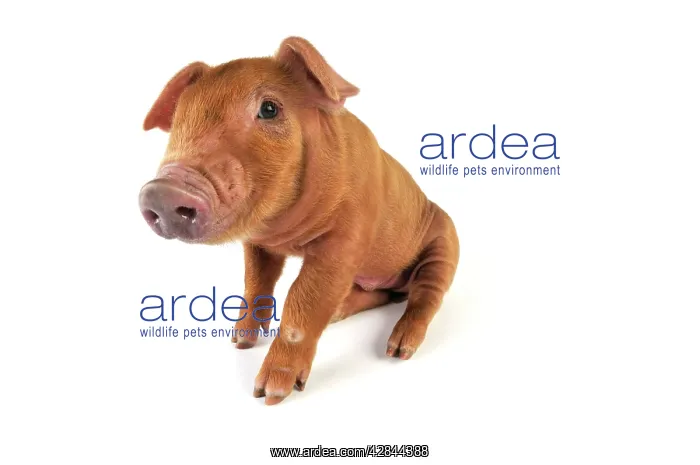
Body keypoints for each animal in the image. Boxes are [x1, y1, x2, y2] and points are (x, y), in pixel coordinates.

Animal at [139, 37, 460, 405]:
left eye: (269, 109)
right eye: (180, 117)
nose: (162, 190)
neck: (284, 232)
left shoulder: (345, 240)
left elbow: (302, 302)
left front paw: (269, 395)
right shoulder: (257, 242)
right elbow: (255, 283)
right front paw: (240, 342)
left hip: (445, 243)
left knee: (425, 295)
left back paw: (398, 350)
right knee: (384, 295)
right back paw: (340, 313)